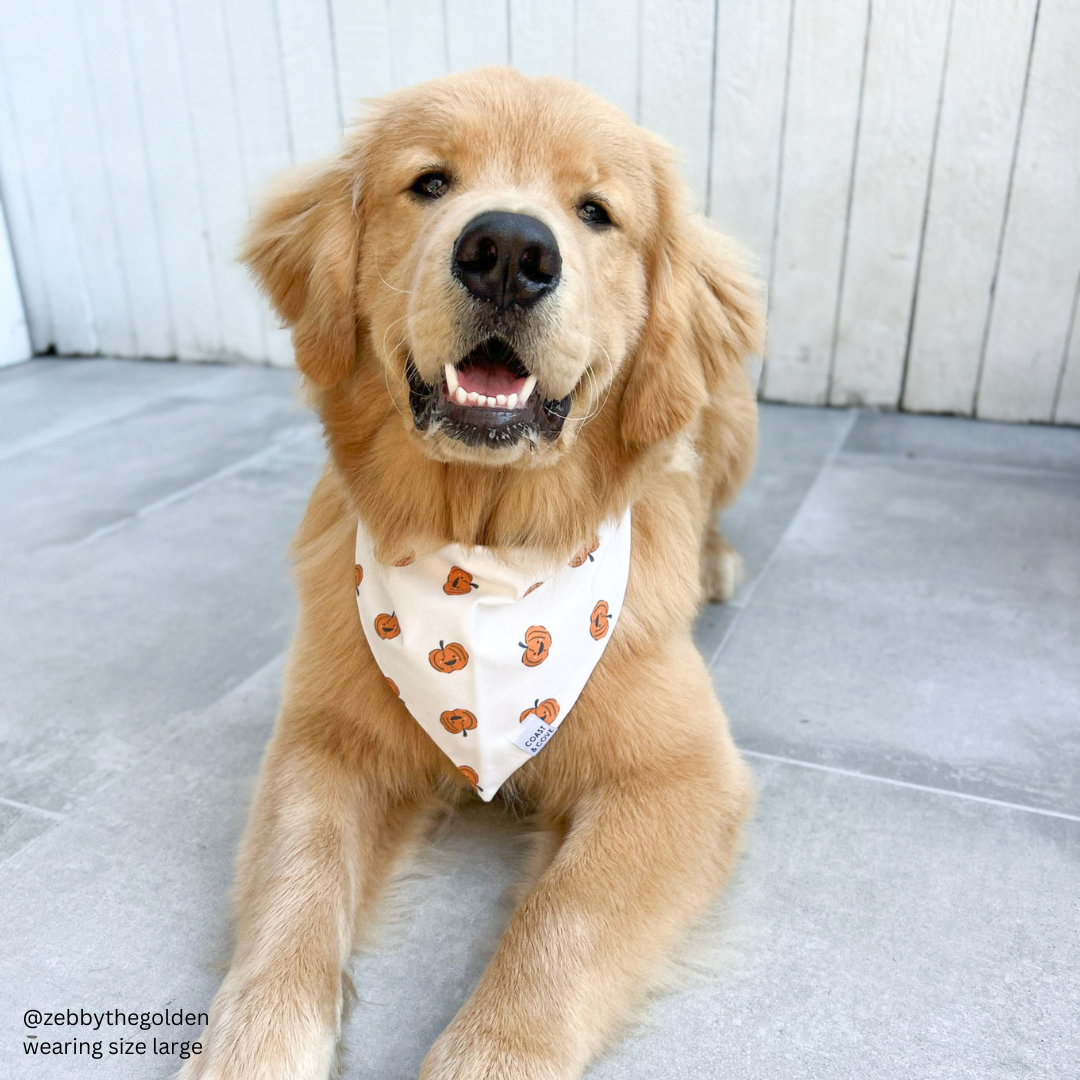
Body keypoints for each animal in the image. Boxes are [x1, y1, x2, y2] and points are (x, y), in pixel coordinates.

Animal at [183, 65, 760, 1080]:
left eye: (596, 211)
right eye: (430, 183)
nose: (508, 252)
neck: (485, 566)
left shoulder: (681, 777)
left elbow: (561, 921)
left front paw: (492, 1052)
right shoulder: (322, 738)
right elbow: (296, 882)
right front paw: (250, 1046)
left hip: (725, 411)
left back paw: (717, 556)